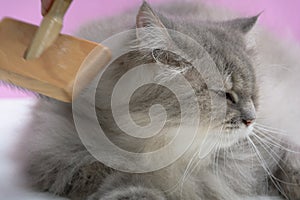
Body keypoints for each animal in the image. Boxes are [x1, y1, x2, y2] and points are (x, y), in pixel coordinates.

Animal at [17, 1, 300, 200]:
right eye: (227, 95)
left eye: (254, 95)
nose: (251, 119)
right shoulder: (66, 161)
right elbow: (126, 182)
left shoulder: (275, 146)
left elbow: (292, 169)